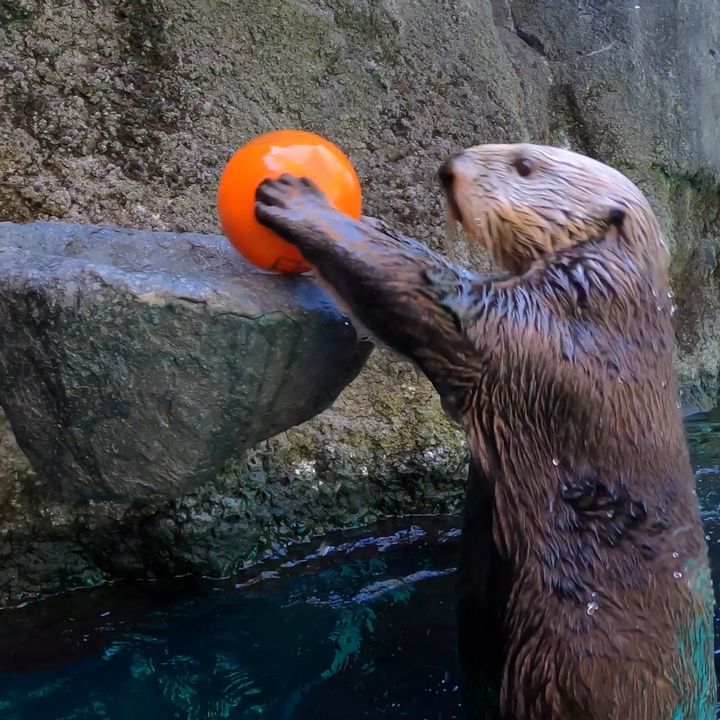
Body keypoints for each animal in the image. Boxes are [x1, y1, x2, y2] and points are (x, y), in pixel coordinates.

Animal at [253, 143, 716, 716]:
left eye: (525, 165)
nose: (449, 170)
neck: (608, 309)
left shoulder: (541, 336)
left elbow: (437, 298)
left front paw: (299, 201)